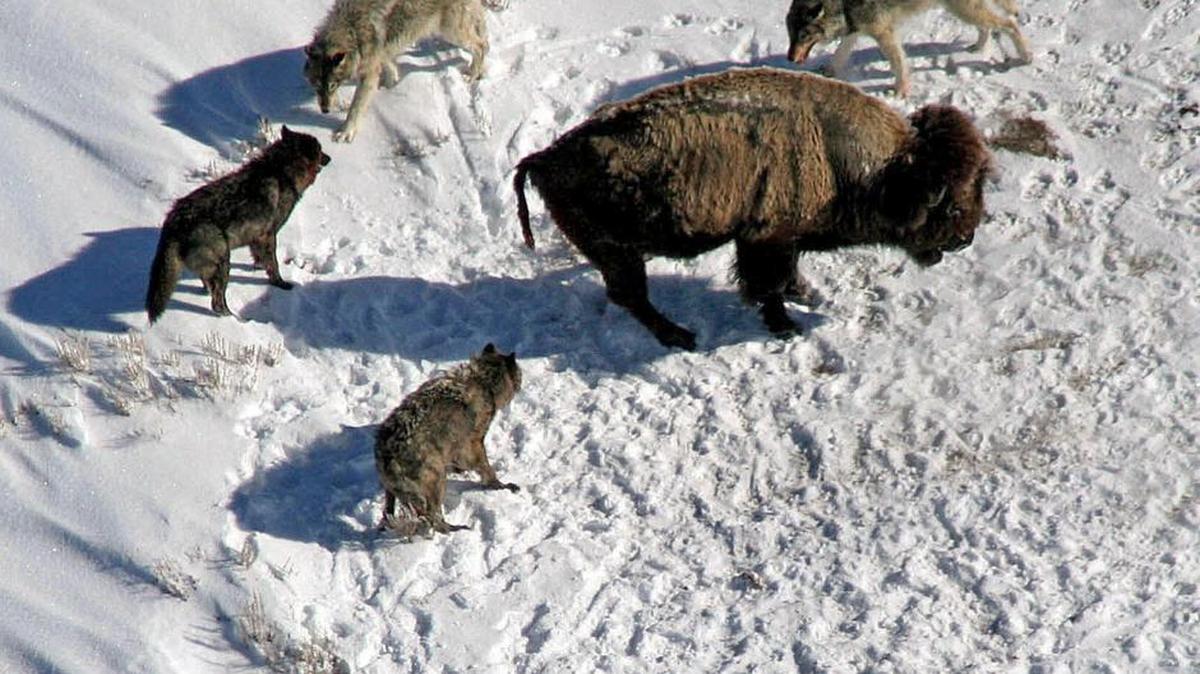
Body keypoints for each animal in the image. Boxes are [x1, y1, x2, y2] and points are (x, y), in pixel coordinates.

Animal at [145, 126, 330, 323]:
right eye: (320, 150)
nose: (330, 158)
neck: (281, 171)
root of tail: (174, 220)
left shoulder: (257, 238)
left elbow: (260, 259)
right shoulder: (268, 235)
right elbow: (274, 266)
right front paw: (280, 284)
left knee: (208, 287)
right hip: (223, 263)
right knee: (217, 303)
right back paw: (236, 320)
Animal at [304, 0, 489, 143]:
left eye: (332, 85)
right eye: (317, 85)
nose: (325, 110)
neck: (352, 30)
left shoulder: (369, 74)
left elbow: (355, 108)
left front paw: (345, 132)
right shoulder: (381, 53)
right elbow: (389, 66)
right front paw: (391, 84)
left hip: (450, 30)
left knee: (480, 45)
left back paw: (471, 75)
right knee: (483, 41)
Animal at [375, 344, 522, 535]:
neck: (483, 380)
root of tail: (388, 455)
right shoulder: (473, 443)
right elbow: (486, 468)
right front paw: (501, 485)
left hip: (394, 489)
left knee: (389, 511)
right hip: (436, 478)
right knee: (434, 517)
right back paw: (453, 528)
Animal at [514, 69, 989, 350]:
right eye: (949, 204)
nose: (966, 239)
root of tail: (544, 157)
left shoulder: (782, 238)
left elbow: (788, 274)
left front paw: (808, 294)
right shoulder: (765, 240)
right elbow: (768, 286)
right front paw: (786, 326)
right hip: (618, 253)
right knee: (632, 297)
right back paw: (681, 337)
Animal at [785, 0, 1032, 97]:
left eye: (803, 35)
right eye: (790, 36)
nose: (789, 58)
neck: (842, 5)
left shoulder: (884, 33)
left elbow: (898, 63)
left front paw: (901, 91)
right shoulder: (856, 29)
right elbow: (840, 53)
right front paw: (828, 71)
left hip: (965, 11)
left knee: (1009, 23)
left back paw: (1026, 55)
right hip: (963, 12)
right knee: (989, 27)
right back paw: (978, 48)